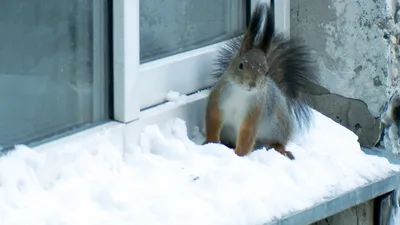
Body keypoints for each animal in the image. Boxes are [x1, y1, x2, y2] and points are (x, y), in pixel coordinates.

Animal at [203, 1, 318, 160]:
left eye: (266, 71)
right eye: (241, 65)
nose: (252, 84)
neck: (240, 92)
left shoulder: (254, 111)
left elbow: (247, 135)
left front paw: (238, 156)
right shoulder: (217, 100)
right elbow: (213, 121)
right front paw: (211, 142)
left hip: (279, 127)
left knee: (277, 142)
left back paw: (280, 149)